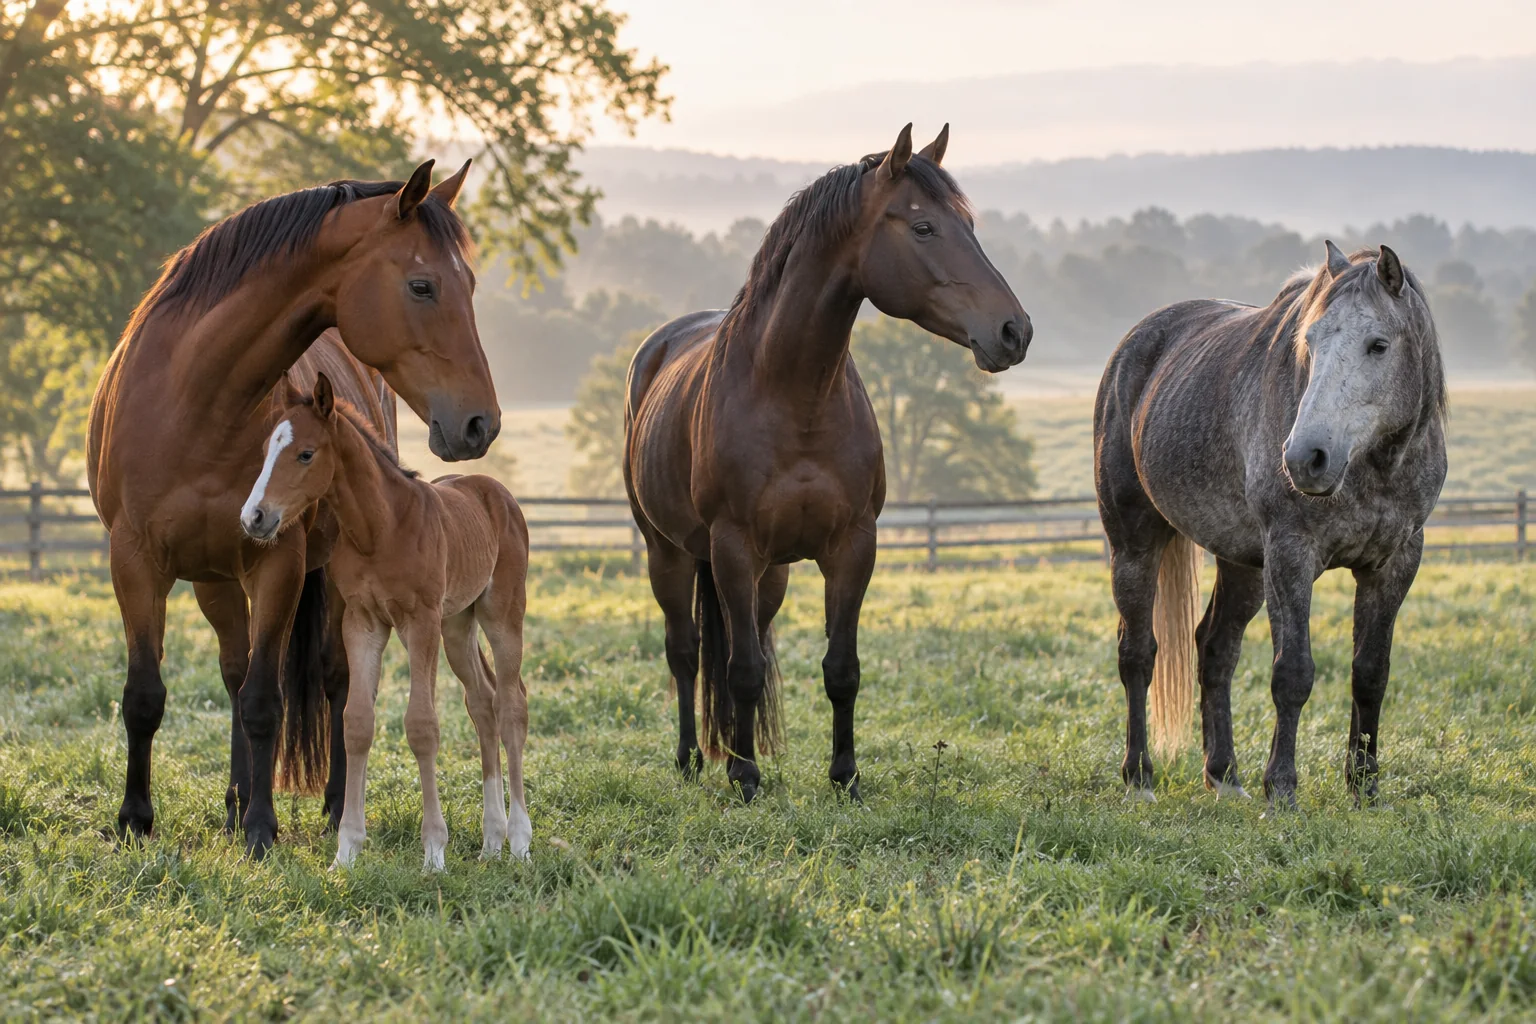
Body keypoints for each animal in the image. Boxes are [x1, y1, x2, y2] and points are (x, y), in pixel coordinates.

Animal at [87, 160, 500, 856]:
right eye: (422, 285)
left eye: (470, 284)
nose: (480, 424)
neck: (193, 401)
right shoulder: (135, 560)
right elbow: (147, 694)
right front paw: (136, 820)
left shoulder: (278, 561)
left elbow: (265, 698)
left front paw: (262, 827)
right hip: (214, 578)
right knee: (232, 670)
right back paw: (233, 802)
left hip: (326, 578)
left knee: (334, 680)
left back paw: (331, 806)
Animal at [240, 373, 530, 870]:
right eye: (264, 450)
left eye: (305, 453)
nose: (254, 517)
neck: (382, 529)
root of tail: (499, 493)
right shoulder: (363, 622)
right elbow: (357, 723)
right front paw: (346, 851)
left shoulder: (420, 621)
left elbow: (422, 726)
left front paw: (434, 851)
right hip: (459, 626)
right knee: (483, 704)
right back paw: (491, 842)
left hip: (501, 615)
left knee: (511, 706)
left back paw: (519, 841)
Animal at [624, 124, 1031, 803]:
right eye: (923, 228)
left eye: (969, 224)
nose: (1014, 331)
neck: (794, 395)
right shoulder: (733, 547)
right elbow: (739, 668)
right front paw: (746, 778)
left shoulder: (852, 546)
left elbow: (839, 669)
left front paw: (845, 776)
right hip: (669, 553)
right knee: (685, 652)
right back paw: (693, 759)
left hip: (771, 576)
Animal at [1095, 241, 1446, 810]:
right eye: (1310, 342)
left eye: (1378, 345)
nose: (1306, 458)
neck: (1370, 467)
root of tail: (1136, 343)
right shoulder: (1290, 554)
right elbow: (1293, 674)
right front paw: (1281, 789)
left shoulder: (1393, 564)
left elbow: (1370, 674)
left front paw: (1365, 788)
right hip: (1134, 542)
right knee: (1138, 654)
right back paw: (1140, 777)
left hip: (1242, 564)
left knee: (1215, 648)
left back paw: (1223, 775)